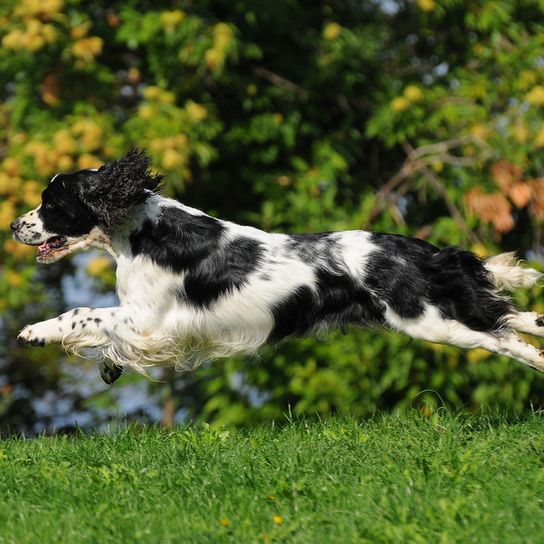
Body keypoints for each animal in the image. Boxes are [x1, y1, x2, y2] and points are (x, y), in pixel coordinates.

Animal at [7, 149, 544, 384]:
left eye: (50, 203)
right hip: (448, 310)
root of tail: (423, 250)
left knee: (505, 336)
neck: (142, 228)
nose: (14, 225)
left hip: (433, 319)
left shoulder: (149, 318)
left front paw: (33, 332)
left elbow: (85, 314)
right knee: (518, 319)